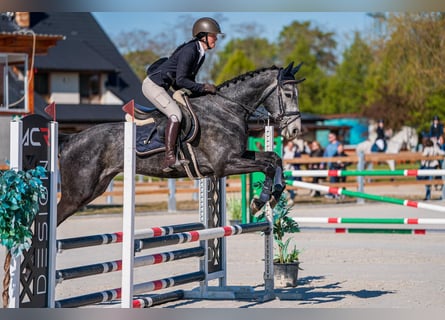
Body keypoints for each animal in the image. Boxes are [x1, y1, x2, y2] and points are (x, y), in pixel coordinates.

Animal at [55, 62, 306, 225]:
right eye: (288, 93)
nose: (295, 130)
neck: (227, 109)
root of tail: (71, 139)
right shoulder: (225, 165)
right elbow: (267, 166)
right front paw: (260, 201)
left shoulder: (238, 155)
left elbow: (274, 159)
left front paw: (274, 195)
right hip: (78, 192)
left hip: (96, 187)